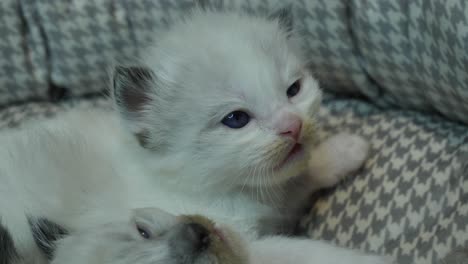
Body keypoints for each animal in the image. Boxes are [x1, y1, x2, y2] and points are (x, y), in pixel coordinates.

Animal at [0, 7, 392, 262]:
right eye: (236, 119)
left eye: (294, 90)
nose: (292, 126)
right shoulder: (239, 243)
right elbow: (303, 251)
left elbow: (300, 173)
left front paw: (344, 150)